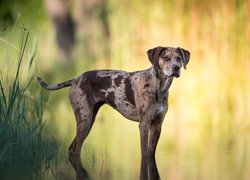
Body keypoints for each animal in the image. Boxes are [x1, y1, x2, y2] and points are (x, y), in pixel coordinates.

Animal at [37, 46, 190, 159]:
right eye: (166, 58)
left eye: (179, 58)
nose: (176, 68)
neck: (158, 87)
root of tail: (75, 79)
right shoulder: (144, 124)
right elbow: (144, 153)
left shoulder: (157, 125)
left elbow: (150, 153)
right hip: (84, 121)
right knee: (75, 149)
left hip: (88, 120)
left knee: (71, 148)